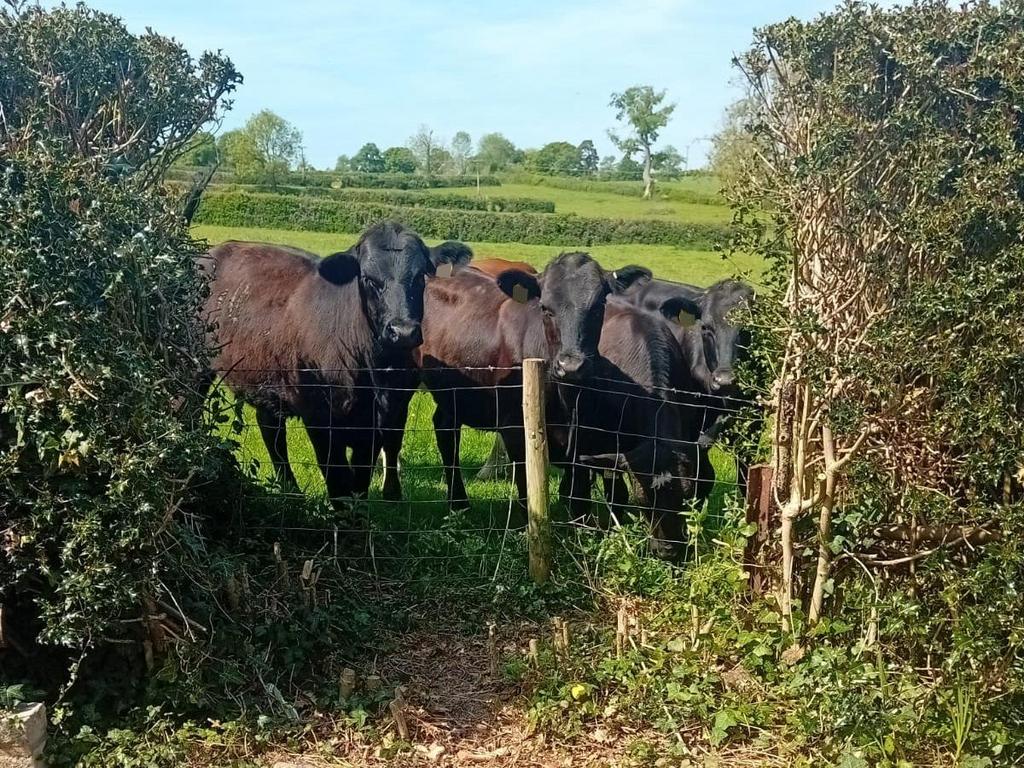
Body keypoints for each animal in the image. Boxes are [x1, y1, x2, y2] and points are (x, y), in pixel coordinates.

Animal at [200, 221, 472, 502]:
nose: (403, 331)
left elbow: (360, 483)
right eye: (368, 279)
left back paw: (290, 490)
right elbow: (339, 484)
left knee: (271, 429)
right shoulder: (320, 418)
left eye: (420, 277)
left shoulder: (380, 420)